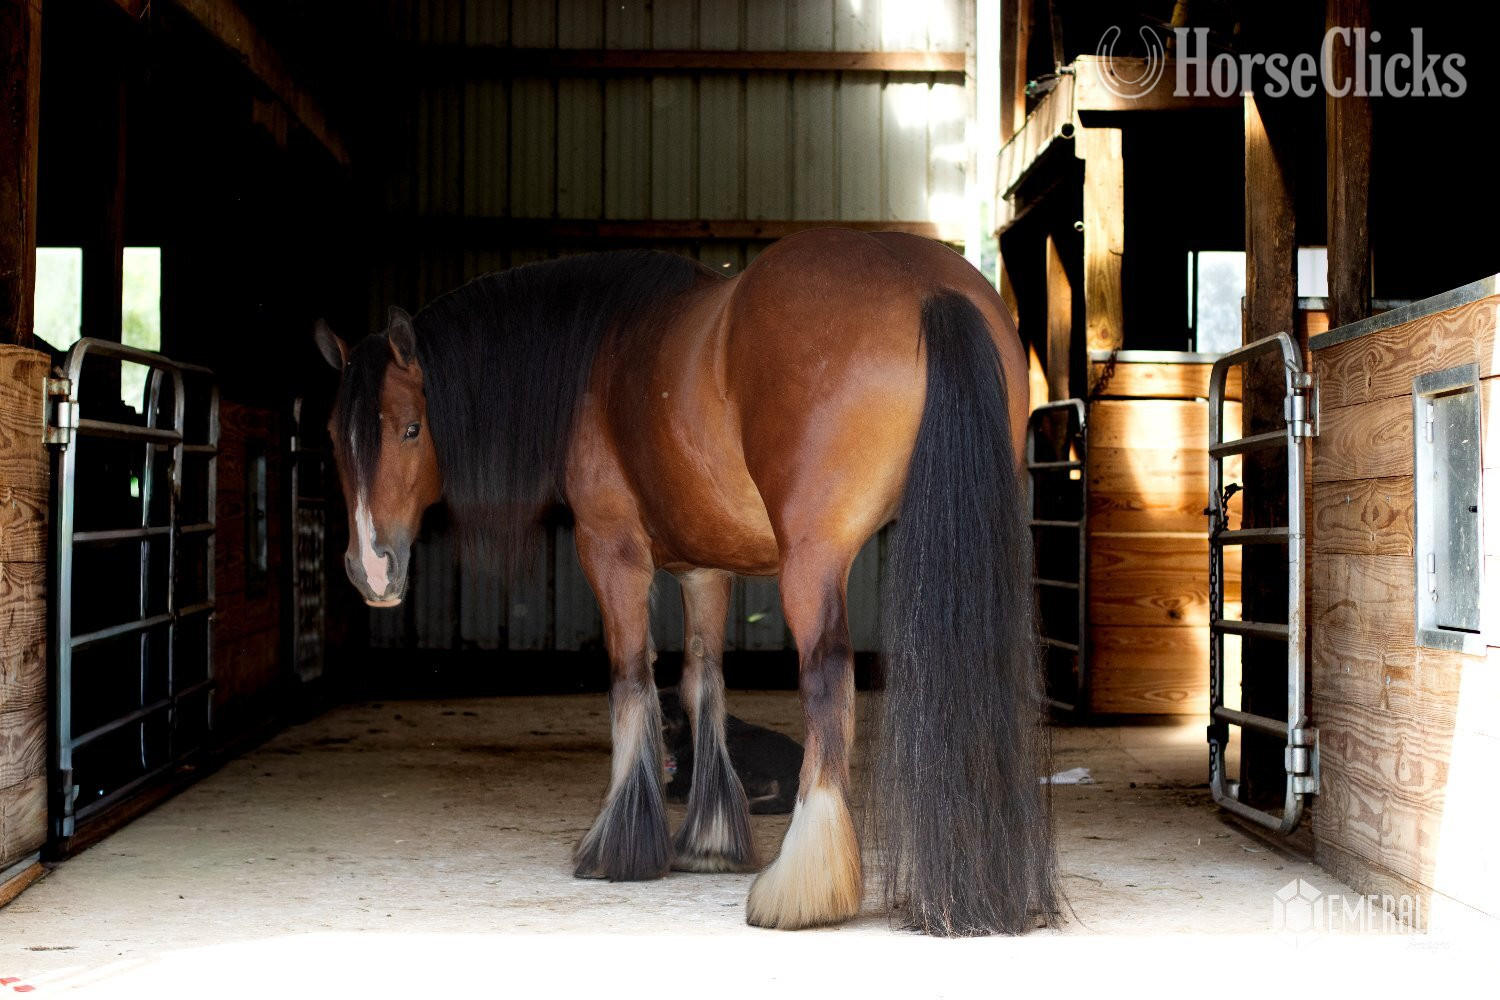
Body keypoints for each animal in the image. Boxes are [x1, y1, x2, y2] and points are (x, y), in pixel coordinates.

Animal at [314, 228, 1057, 936]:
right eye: (331, 435)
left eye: (411, 429)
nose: (371, 567)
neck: (601, 355)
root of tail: (929, 289)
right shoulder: (706, 567)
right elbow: (704, 684)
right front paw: (710, 841)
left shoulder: (610, 549)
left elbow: (631, 682)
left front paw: (618, 846)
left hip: (813, 562)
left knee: (826, 687)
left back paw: (801, 888)